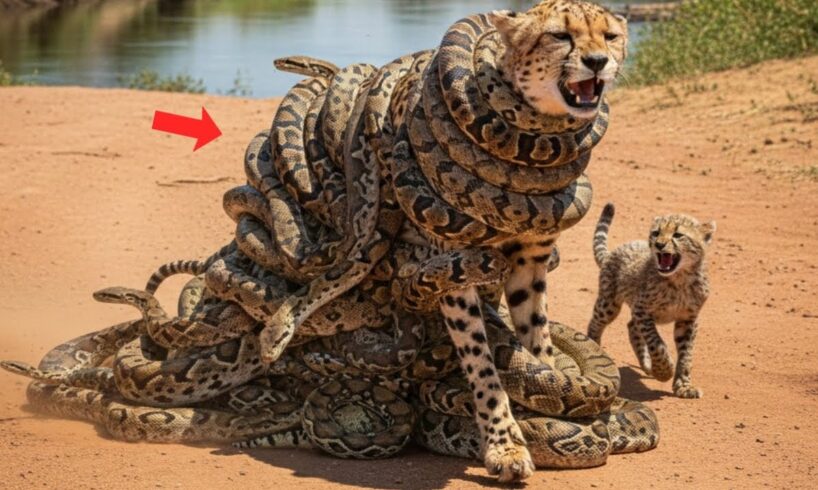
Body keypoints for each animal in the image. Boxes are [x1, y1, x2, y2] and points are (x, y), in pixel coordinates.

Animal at [587, 203, 716, 399]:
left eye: (678, 235)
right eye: (656, 232)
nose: (659, 244)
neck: (679, 279)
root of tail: (617, 249)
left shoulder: (688, 319)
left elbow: (686, 355)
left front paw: (684, 386)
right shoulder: (643, 310)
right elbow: (657, 343)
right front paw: (664, 371)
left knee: (631, 326)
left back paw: (647, 365)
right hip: (609, 304)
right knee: (596, 324)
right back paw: (593, 348)